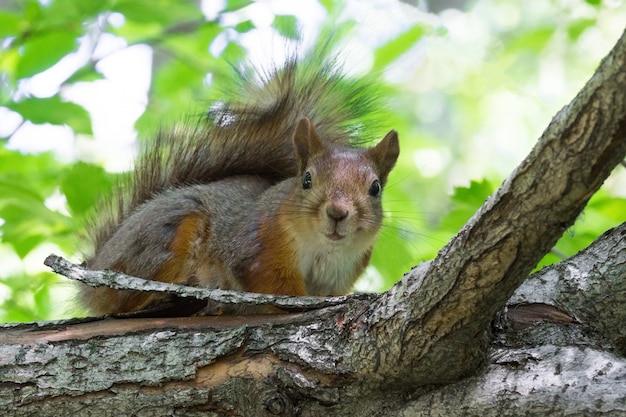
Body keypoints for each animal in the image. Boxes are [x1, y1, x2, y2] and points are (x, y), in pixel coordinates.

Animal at [79, 52, 400, 316]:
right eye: (307, 179)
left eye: (375, 188)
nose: (337, 212)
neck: (324, 250)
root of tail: (97, 263)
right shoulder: (257, 248)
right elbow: (275, 287)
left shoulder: (337, 278)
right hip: (166, 236)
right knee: (119, 301)